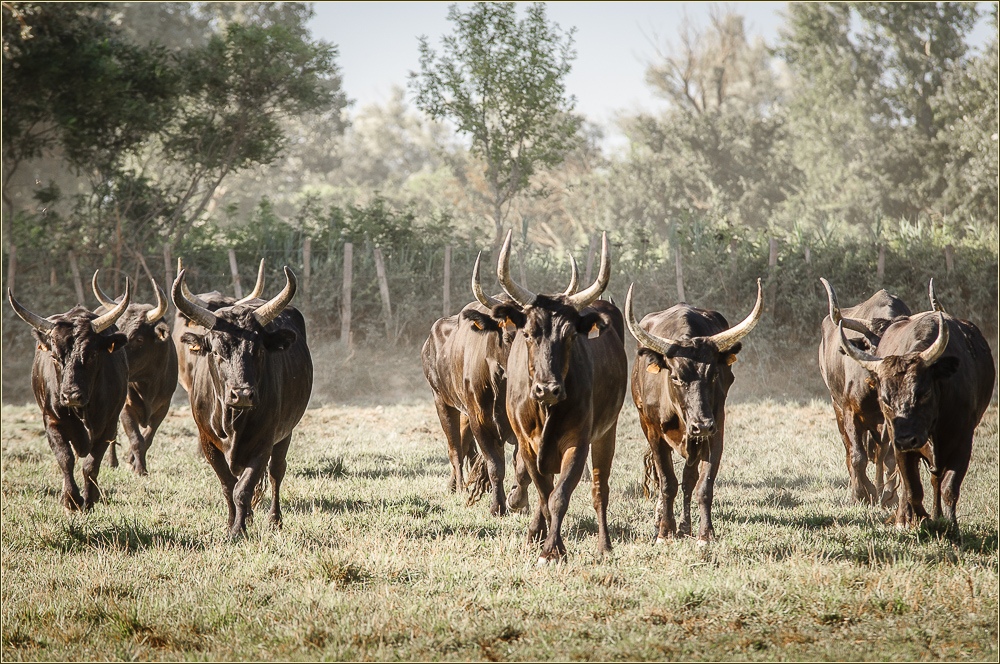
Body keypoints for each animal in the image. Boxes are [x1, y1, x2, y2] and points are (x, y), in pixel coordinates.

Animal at [8, 282, 133, 510]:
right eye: (55, 356)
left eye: (92, 354)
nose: (71, 395)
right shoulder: (51, 420)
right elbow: (65, 458)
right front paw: (71, 498)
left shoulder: (108, 425)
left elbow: (91, 465)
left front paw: (89, 500)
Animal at [172, 266, 312, 540]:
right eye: (216, 352)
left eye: (257, 350)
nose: (243, 394)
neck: (232, 420)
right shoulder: (207, 443)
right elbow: (228, 485)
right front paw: (232, 523)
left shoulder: (264, 442)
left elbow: (243, 488)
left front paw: (238, 530)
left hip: (286, 433)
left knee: (276, 472)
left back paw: (274, 519)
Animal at [476, 231, 624, 564]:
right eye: (529, 333)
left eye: (570, 335)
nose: (548, 389)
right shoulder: (526, 444)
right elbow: (543, 494)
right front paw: (543, 539)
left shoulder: (577, 443)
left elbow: (559, 496)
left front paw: (552, 550)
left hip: (607, 433)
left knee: (600, 489)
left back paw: (604, 544)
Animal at [628, 278, 760, 544]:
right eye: (676, 377)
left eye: (714, 374)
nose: (702, 424)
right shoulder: (654, 433)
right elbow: (667, 483)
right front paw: (664, 531)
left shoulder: (715, 431)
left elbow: (703, 485)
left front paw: (704, 534)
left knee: (689, 480)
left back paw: (685, 525)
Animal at [840, 308, 996, 532]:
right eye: (885, 399)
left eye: (923, 393)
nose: (907, 439)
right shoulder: (899, 445)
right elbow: (913, 489)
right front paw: (916, 519)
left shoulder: (962, 442)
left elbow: (949, 488)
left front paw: (949, 524)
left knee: (936, 480)